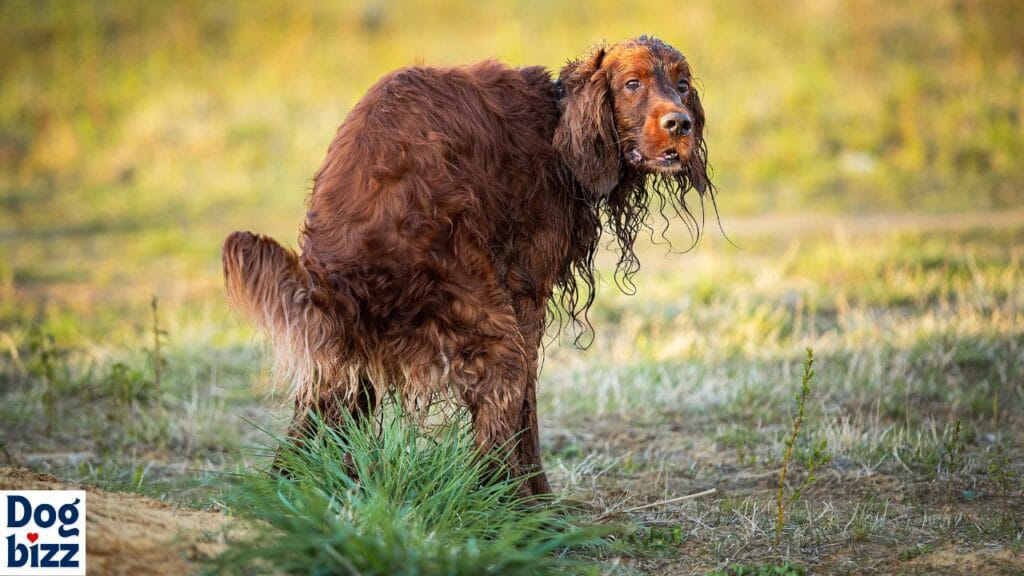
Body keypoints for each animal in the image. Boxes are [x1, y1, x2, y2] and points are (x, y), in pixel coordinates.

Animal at [222, 35, 712, 494]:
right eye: (632, 84)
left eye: (682, 85)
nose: (680, 123)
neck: (557, 124)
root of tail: (340, 275)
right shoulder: (525, 296)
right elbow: (527, 412)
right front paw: (541, 501)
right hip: (487, 326)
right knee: (495, 424)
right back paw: (514, 506)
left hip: (345, 349)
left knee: (322, 412)